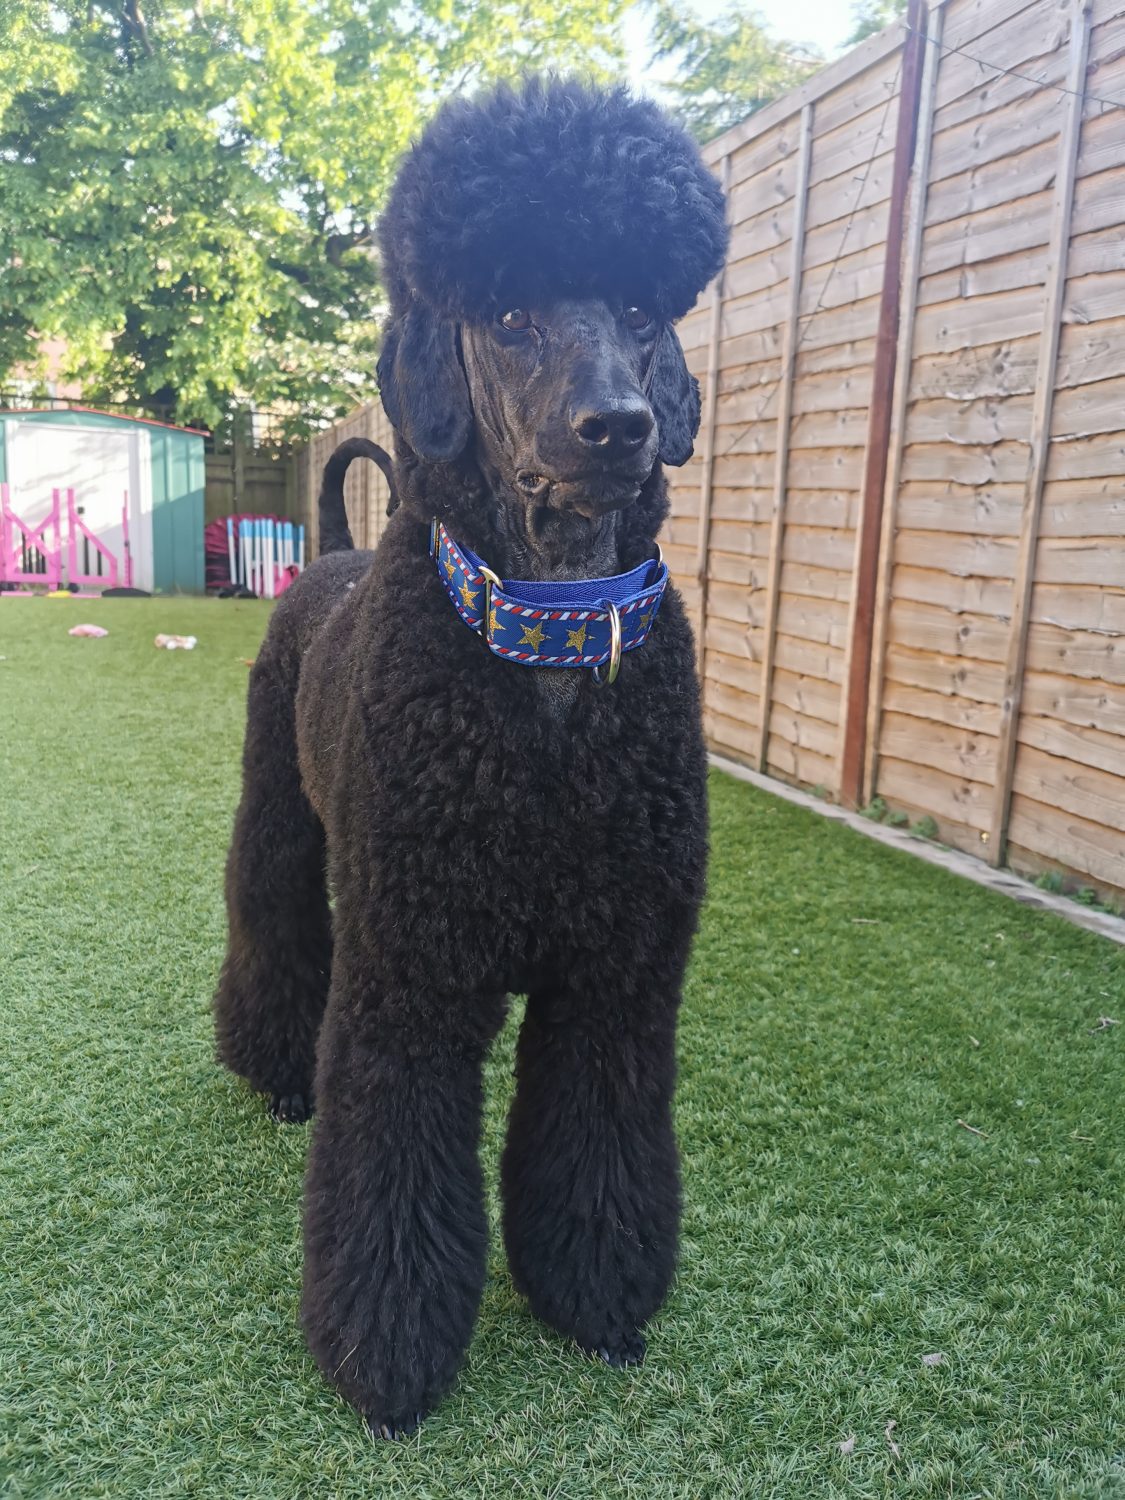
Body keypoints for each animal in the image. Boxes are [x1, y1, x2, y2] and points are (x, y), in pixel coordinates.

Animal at [214, 75, 728, 1437]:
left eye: (642, 312)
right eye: (508, 317)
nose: (619, 426)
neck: (543, 656)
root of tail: (335, 554)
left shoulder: (617, 977)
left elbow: (597, 1147)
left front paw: (596, 1301)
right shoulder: (410, 973)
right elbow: (389, 1164)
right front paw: (387, 1359)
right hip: (279, 825)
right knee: (272, 934)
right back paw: (276, 1073)